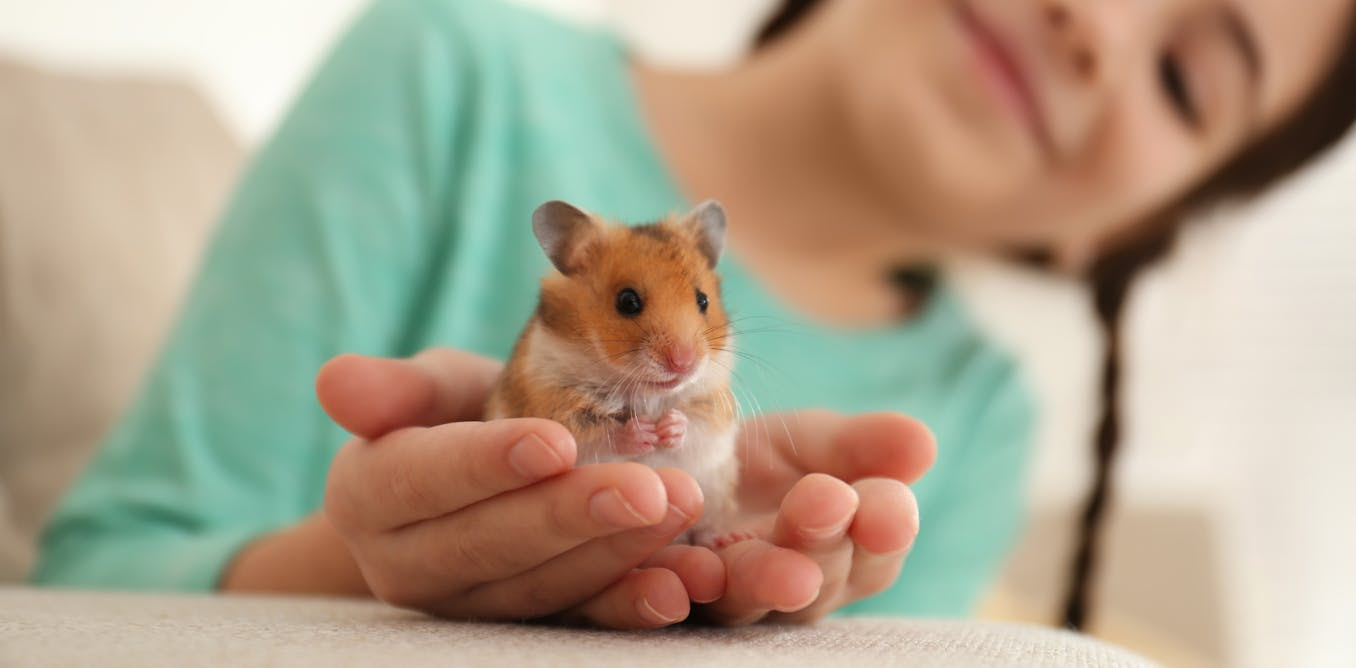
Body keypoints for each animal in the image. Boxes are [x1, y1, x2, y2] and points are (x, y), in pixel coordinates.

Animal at [485, 199, 743, 547]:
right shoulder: (553, 403)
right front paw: (644, 432)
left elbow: (696, 423)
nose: (683, 363)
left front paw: (668, 427)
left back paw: (728, 538)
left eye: (702, 300)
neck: (645, 391)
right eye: (627, 301)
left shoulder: (715, 407)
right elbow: (598, 434)